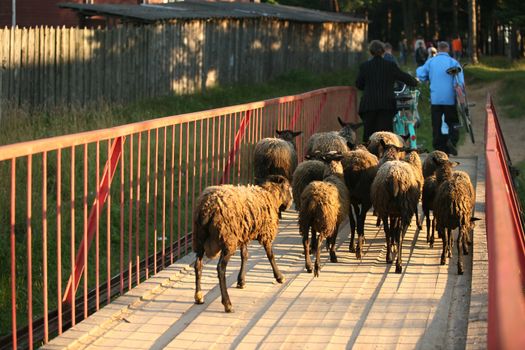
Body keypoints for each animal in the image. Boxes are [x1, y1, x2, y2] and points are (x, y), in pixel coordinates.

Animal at [191, 174, 290, 312]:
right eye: (288, 187)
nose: (290, 203)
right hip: (228, 240)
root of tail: (206, 207)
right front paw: (279, 277)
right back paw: (227, 303)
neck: (269, 195)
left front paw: (241, 281)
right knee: (220, 268)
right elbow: (270, 255)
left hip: (199, 238)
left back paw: (199, 296)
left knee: (198, 265)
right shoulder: (266, 232)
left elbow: (245, 255)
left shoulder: (244, 232)